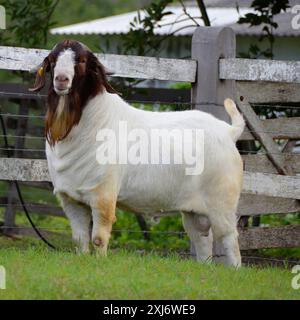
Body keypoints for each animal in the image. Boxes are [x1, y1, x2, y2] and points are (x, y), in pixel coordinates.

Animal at [30, 39, 245, 264]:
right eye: (52, 59)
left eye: (81, 60)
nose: (61, 79)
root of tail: (229, 131)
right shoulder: (70, 199)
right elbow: (79, 240)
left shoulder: (103, 196)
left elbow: (98, 238)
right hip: (194, 212)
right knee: (202, 238)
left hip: (222, 203)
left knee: (230, 239)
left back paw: (234, 268)